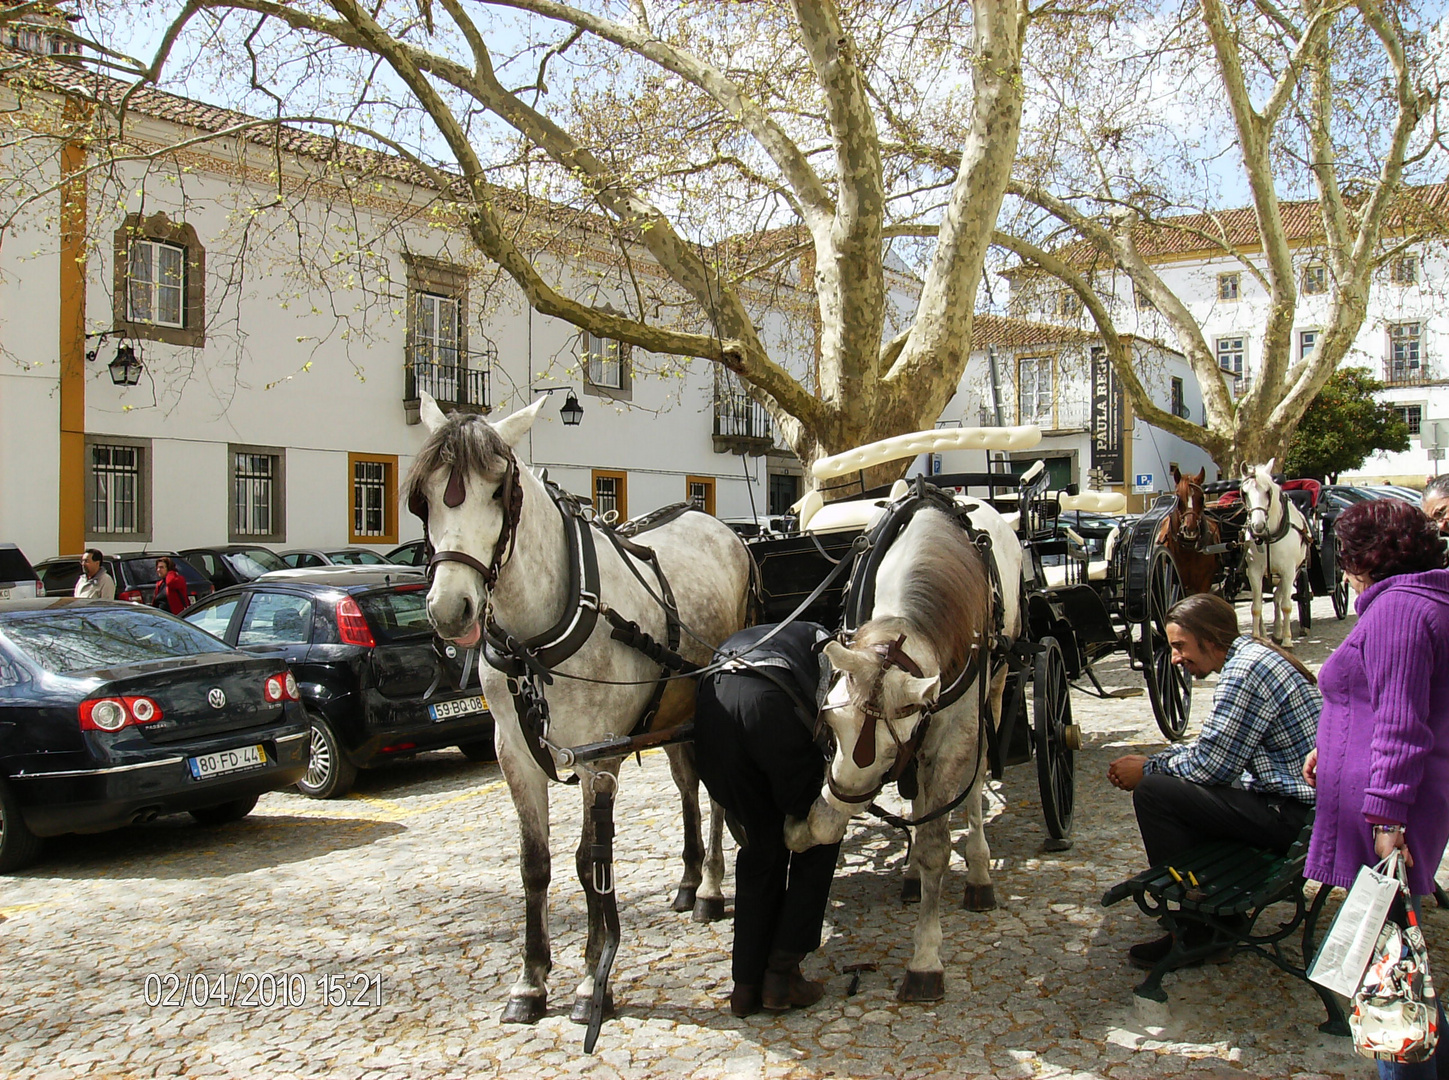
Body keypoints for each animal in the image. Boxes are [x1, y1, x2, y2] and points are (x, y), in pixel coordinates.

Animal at [408, 391, 747, 1026]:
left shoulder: (598, 756)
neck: (533, 639)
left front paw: (594, 982)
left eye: (500, 491)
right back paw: (690, 880)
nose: (450, 609)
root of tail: (721, 526)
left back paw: (713, 890)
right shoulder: (513, 754)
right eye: (426, 496)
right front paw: (530, 981)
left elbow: (592, 863)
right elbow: (534, 864)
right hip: (675, 709)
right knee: (688, 783)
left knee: (717, 790)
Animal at [782, 495, 1020, 1003]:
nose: (830, 808)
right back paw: (910, 874)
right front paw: (805, 830)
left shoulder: (949, 736)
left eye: (893, 750)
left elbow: (936, 845)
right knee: (919, 799)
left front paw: (926, 959)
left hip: (996, 686)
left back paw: (978, 872)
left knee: (975, 783)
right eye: (830, 724)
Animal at [1240, 458, 1309, 643]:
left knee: (1279, 599)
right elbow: (1256, 606)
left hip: (1294, 572)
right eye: (1244, 493)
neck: (1269, 536)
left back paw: (1281, 632)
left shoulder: (1288, 571)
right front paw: (1256, 636)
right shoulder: (1254, 571)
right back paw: (1268, 633)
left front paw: (1287, 640)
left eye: (1268, 491)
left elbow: (1286, 606)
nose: (1258, 526)